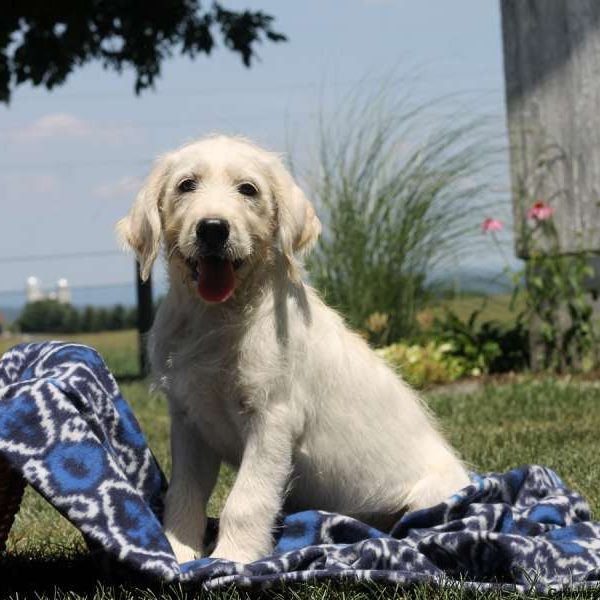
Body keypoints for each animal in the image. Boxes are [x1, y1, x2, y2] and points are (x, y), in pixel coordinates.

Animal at [117, 134, 472, 564]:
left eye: (248, 189)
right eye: (187, 185)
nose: (213, 229)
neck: (217, 317)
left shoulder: (272, 418)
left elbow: (246, 500)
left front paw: (231, 559)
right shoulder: (189, 421)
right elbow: (185, 495)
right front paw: (177, 552)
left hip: (430, 498)